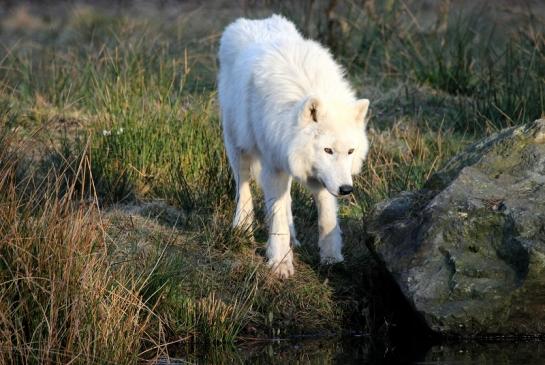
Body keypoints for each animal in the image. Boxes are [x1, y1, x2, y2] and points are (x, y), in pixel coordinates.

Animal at [217, 13, 370, 276]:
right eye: (328, 150)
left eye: (350, 151)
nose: (346, 189)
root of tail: (255, 20)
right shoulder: (273, 166)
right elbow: (276, 216)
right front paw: (280, 263)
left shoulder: (320, 177)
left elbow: (327, 217)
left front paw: (331, 258)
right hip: (238, 147)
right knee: (243, 189)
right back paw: (242, 229)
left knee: (286, 201)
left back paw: (294, 239)